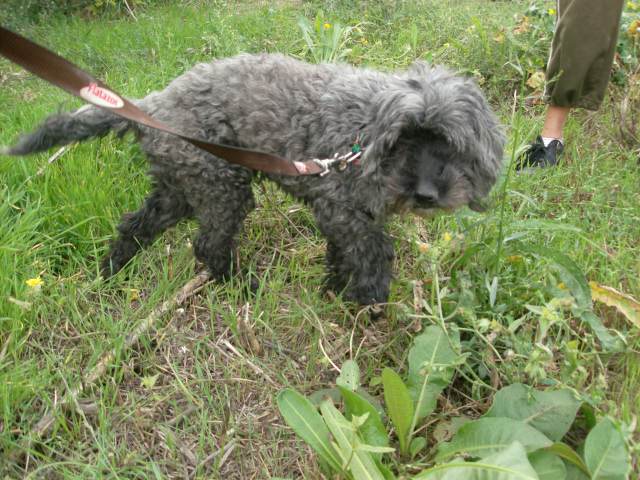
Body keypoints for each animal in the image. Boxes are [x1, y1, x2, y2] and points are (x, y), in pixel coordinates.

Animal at [5, 54, 504, 306]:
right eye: (404, 140)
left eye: (450, 143)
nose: (425, 194)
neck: (363, 136)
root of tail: (153, 104)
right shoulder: (342, 209)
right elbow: (375, 249)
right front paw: (367, 299)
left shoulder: (343, 215)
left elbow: (343, 253)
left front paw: (335, 289)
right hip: (222, 188)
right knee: (208, 246)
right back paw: (243, 288)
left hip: (181, 187)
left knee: (134, 225)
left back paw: (112, 273)